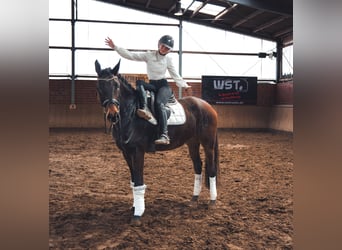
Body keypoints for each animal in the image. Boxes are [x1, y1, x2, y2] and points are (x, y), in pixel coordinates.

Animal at [95, 60, 220, 225]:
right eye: (99, 87)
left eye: (116, 86)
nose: (113, 115)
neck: (131, 115)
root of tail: (208, 106)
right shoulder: (126, 152)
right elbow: (133, 180)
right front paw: (134, 207)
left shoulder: (138, 151)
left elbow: (139, 181)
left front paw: (138, 214)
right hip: (192, 143)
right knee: (198, 166)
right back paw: (194, 198)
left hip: (208, 144)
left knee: (211, 169)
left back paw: (212, 201)